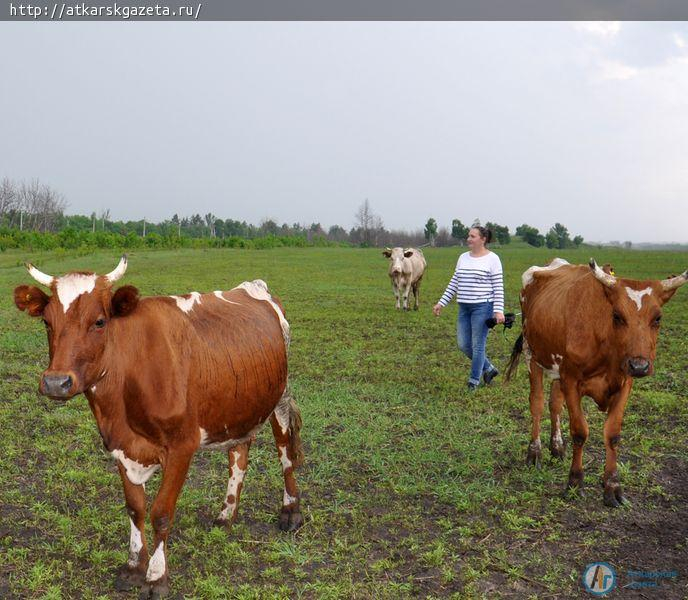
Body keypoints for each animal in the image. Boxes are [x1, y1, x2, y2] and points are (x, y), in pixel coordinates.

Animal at [12, 256, 304, 596]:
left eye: (99, 321)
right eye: (47, 322)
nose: (56, 382)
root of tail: (254, 286)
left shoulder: (181, 445)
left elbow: (161, 513)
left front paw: (156, 576)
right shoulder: (120, 447)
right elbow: (135, 508)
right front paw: (133, 567)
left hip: (280, 398)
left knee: (285, 453)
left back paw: (291, 512)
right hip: (239, 406)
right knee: (239, 455)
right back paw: (225, 515)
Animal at [506, 258, 688, 506]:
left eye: (657, 318)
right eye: (617, 316)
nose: (639, 366)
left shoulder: (624, 383)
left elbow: (612, 434)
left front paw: (612, 487)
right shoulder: (571, 381)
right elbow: (580, 432)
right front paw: (574, 483)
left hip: (556, 367)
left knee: (554, 404)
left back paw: (557, 447)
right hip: (531, 355)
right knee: (537, 404)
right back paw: (534, 453)